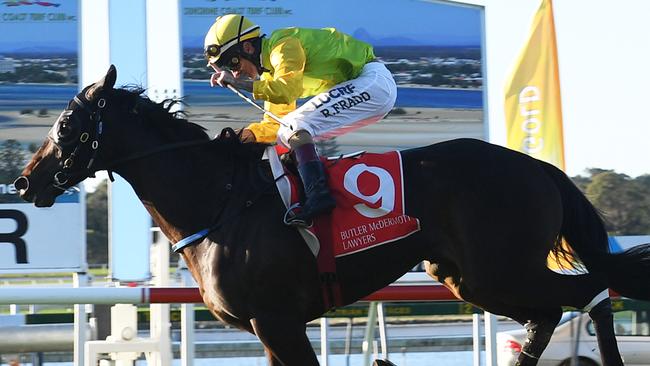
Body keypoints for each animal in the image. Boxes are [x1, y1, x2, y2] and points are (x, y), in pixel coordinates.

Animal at [13, 64, 648, 364]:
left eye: (67, 126)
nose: (24, 181)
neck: (220, 199)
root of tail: (540, 167)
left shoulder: (277, 321)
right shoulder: (267, 329)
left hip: (502, 268)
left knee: (587, 294)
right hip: (471, 278)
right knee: (548, 314)